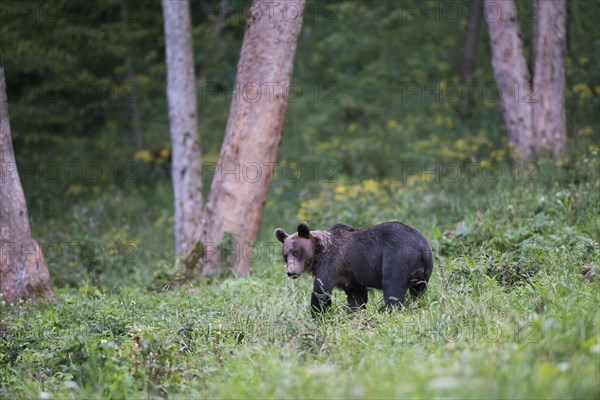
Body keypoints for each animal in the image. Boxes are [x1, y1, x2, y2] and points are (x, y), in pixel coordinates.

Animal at [274, 220, 434, 314]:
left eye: (297, 252)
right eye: (285, 255)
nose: (291, 272)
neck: (318, 254)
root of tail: (421, 245)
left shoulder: (331, 264)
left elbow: (321, 291)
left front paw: (318, 315)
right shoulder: (351, 276)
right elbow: (356, 297)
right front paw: (355, 312)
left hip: (397, 258)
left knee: (393, 286)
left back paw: (391, 310)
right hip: (424, 270)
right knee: (419, 290)